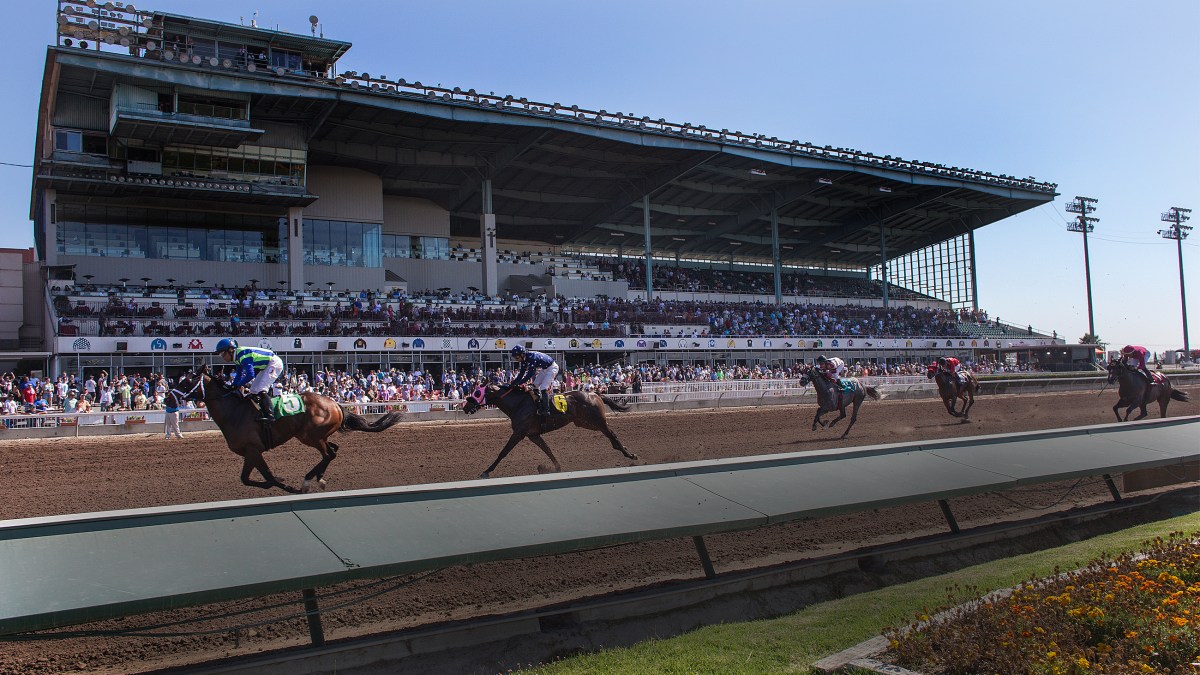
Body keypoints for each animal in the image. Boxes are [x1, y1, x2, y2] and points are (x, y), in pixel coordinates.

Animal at [174, 365, 405, 492]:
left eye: (186, 383)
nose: (170, 398)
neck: (234, 412)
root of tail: (334, 403)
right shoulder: (253, 452)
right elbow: (255, 477)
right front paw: (278, 482)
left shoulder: (252, 450)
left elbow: (257, 478)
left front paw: (287, 486)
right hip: (315, 436)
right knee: (333, 450)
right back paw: (318, 478)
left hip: (311, 436)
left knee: (329, 454)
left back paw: (308, 480)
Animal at [463, 381, 643, 475]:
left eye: (477, 392)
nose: (465, 406)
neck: (518, 404)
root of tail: (595, 393)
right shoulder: (533, 435)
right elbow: (548, 450)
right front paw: (554, 467)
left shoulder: (519, 433)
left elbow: (503, 452)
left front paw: (487, 471)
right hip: (584, 423)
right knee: (611, 437)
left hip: (597, 421)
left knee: (612, 434)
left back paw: (631, 455)